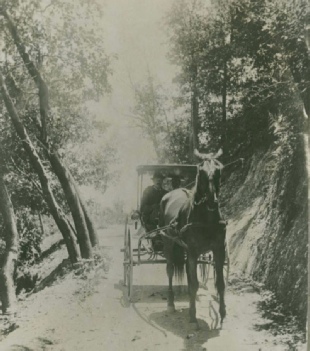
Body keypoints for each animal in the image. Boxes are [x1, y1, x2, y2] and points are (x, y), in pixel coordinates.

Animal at [159, 149, 226, 330]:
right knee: (169, 270)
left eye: (219, 170)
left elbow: (220, 283)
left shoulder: (218, 249)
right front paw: (193, 318)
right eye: (200, 171)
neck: (206, 219)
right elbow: (194, 284)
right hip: (168, 243)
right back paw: (170, 303)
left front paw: (222, 315)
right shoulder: (193, 251)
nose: (211, 200)